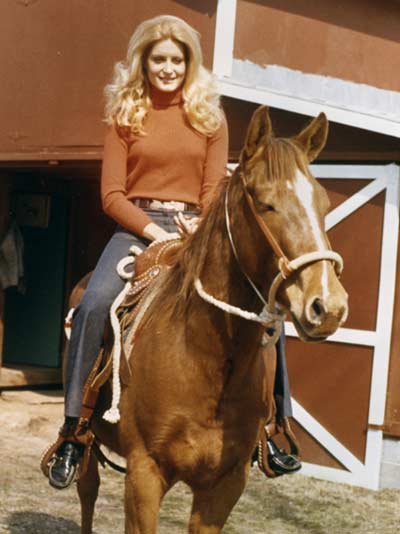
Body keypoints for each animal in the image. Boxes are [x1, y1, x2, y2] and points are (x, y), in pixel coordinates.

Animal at [74, 107, 346, 532]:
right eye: (264, 202)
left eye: (323, 203)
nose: (328, 305)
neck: (206, 359)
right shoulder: (144, 474)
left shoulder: (226, 483)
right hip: (86, 444)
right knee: (87, 489)